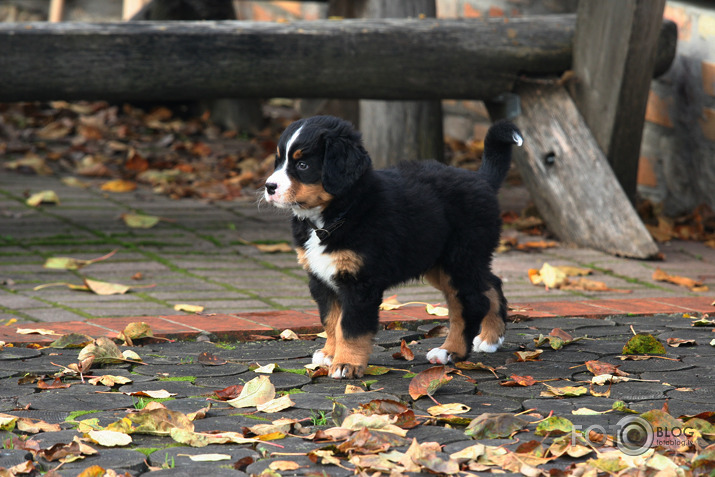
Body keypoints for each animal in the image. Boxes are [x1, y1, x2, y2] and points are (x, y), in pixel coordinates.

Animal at [266, 113, 524, 378]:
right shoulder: (321, 279)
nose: (269, 187)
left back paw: (450, 351)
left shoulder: (359, 283)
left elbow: (350, 327)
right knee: (491, 285)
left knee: (471, 304)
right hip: (447, 261)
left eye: (303, 165)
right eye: (278, 161)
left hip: (459, 259)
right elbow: (330, 320)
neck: (338, 213)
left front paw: (346, 364)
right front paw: (329, 354)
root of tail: (481, 179)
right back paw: (490, 338)